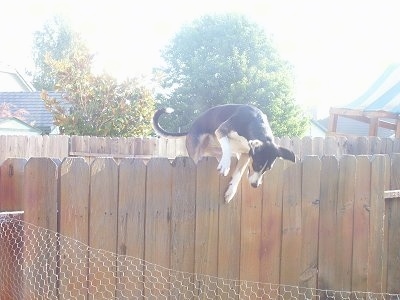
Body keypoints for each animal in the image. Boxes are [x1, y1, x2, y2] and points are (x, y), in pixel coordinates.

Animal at [152, 104, 296, 203]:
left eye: (268, 169)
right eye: (257, 165)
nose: (255, 185)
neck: (254, 122)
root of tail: (190, 129)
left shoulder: (246, 154)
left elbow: (238, 174)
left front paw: (230, 192)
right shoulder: (221, 130)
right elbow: (227, 145)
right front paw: (225, 166)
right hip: (196, 152)